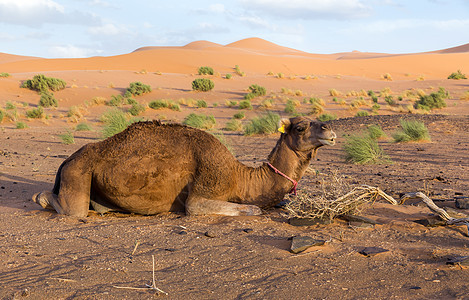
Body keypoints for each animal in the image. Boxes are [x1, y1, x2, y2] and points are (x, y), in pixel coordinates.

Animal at [32, 116, 332, 217]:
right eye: (302, 126)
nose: (330, 130)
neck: (239, 176)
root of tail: (67, 160)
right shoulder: (201, 194)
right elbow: (254, 209)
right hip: (78, 173)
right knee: (68, 207)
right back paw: (40, 197)